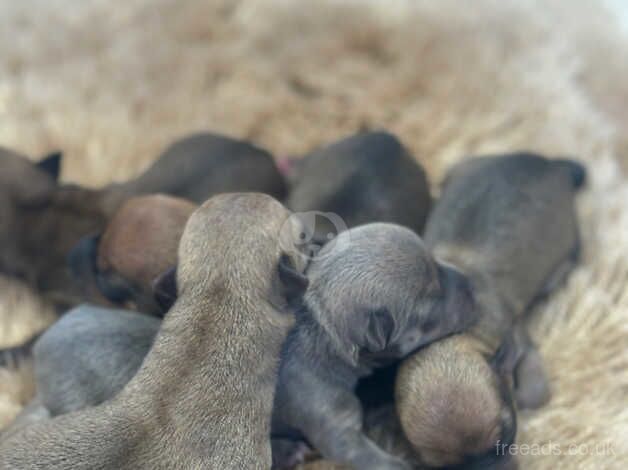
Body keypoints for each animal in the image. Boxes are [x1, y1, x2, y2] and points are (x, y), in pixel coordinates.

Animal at [394, 152, 588, 468]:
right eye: (448, 468)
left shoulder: (518, 339)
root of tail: (547, 163)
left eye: (508, 437)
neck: (447, 337)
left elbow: (533, 394)